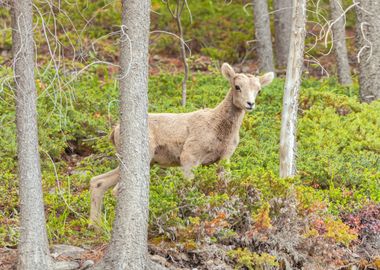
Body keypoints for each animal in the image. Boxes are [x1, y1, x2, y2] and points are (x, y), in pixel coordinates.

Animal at [89, 63, 274, 226]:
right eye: (237, 86)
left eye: (258, 90)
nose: (250, 104)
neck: (220, 130)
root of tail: (114, 132)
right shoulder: (189, 156)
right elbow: (190, 190)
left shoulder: (223, 158)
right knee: (115, 189)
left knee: (98, 182)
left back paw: (95, 226)